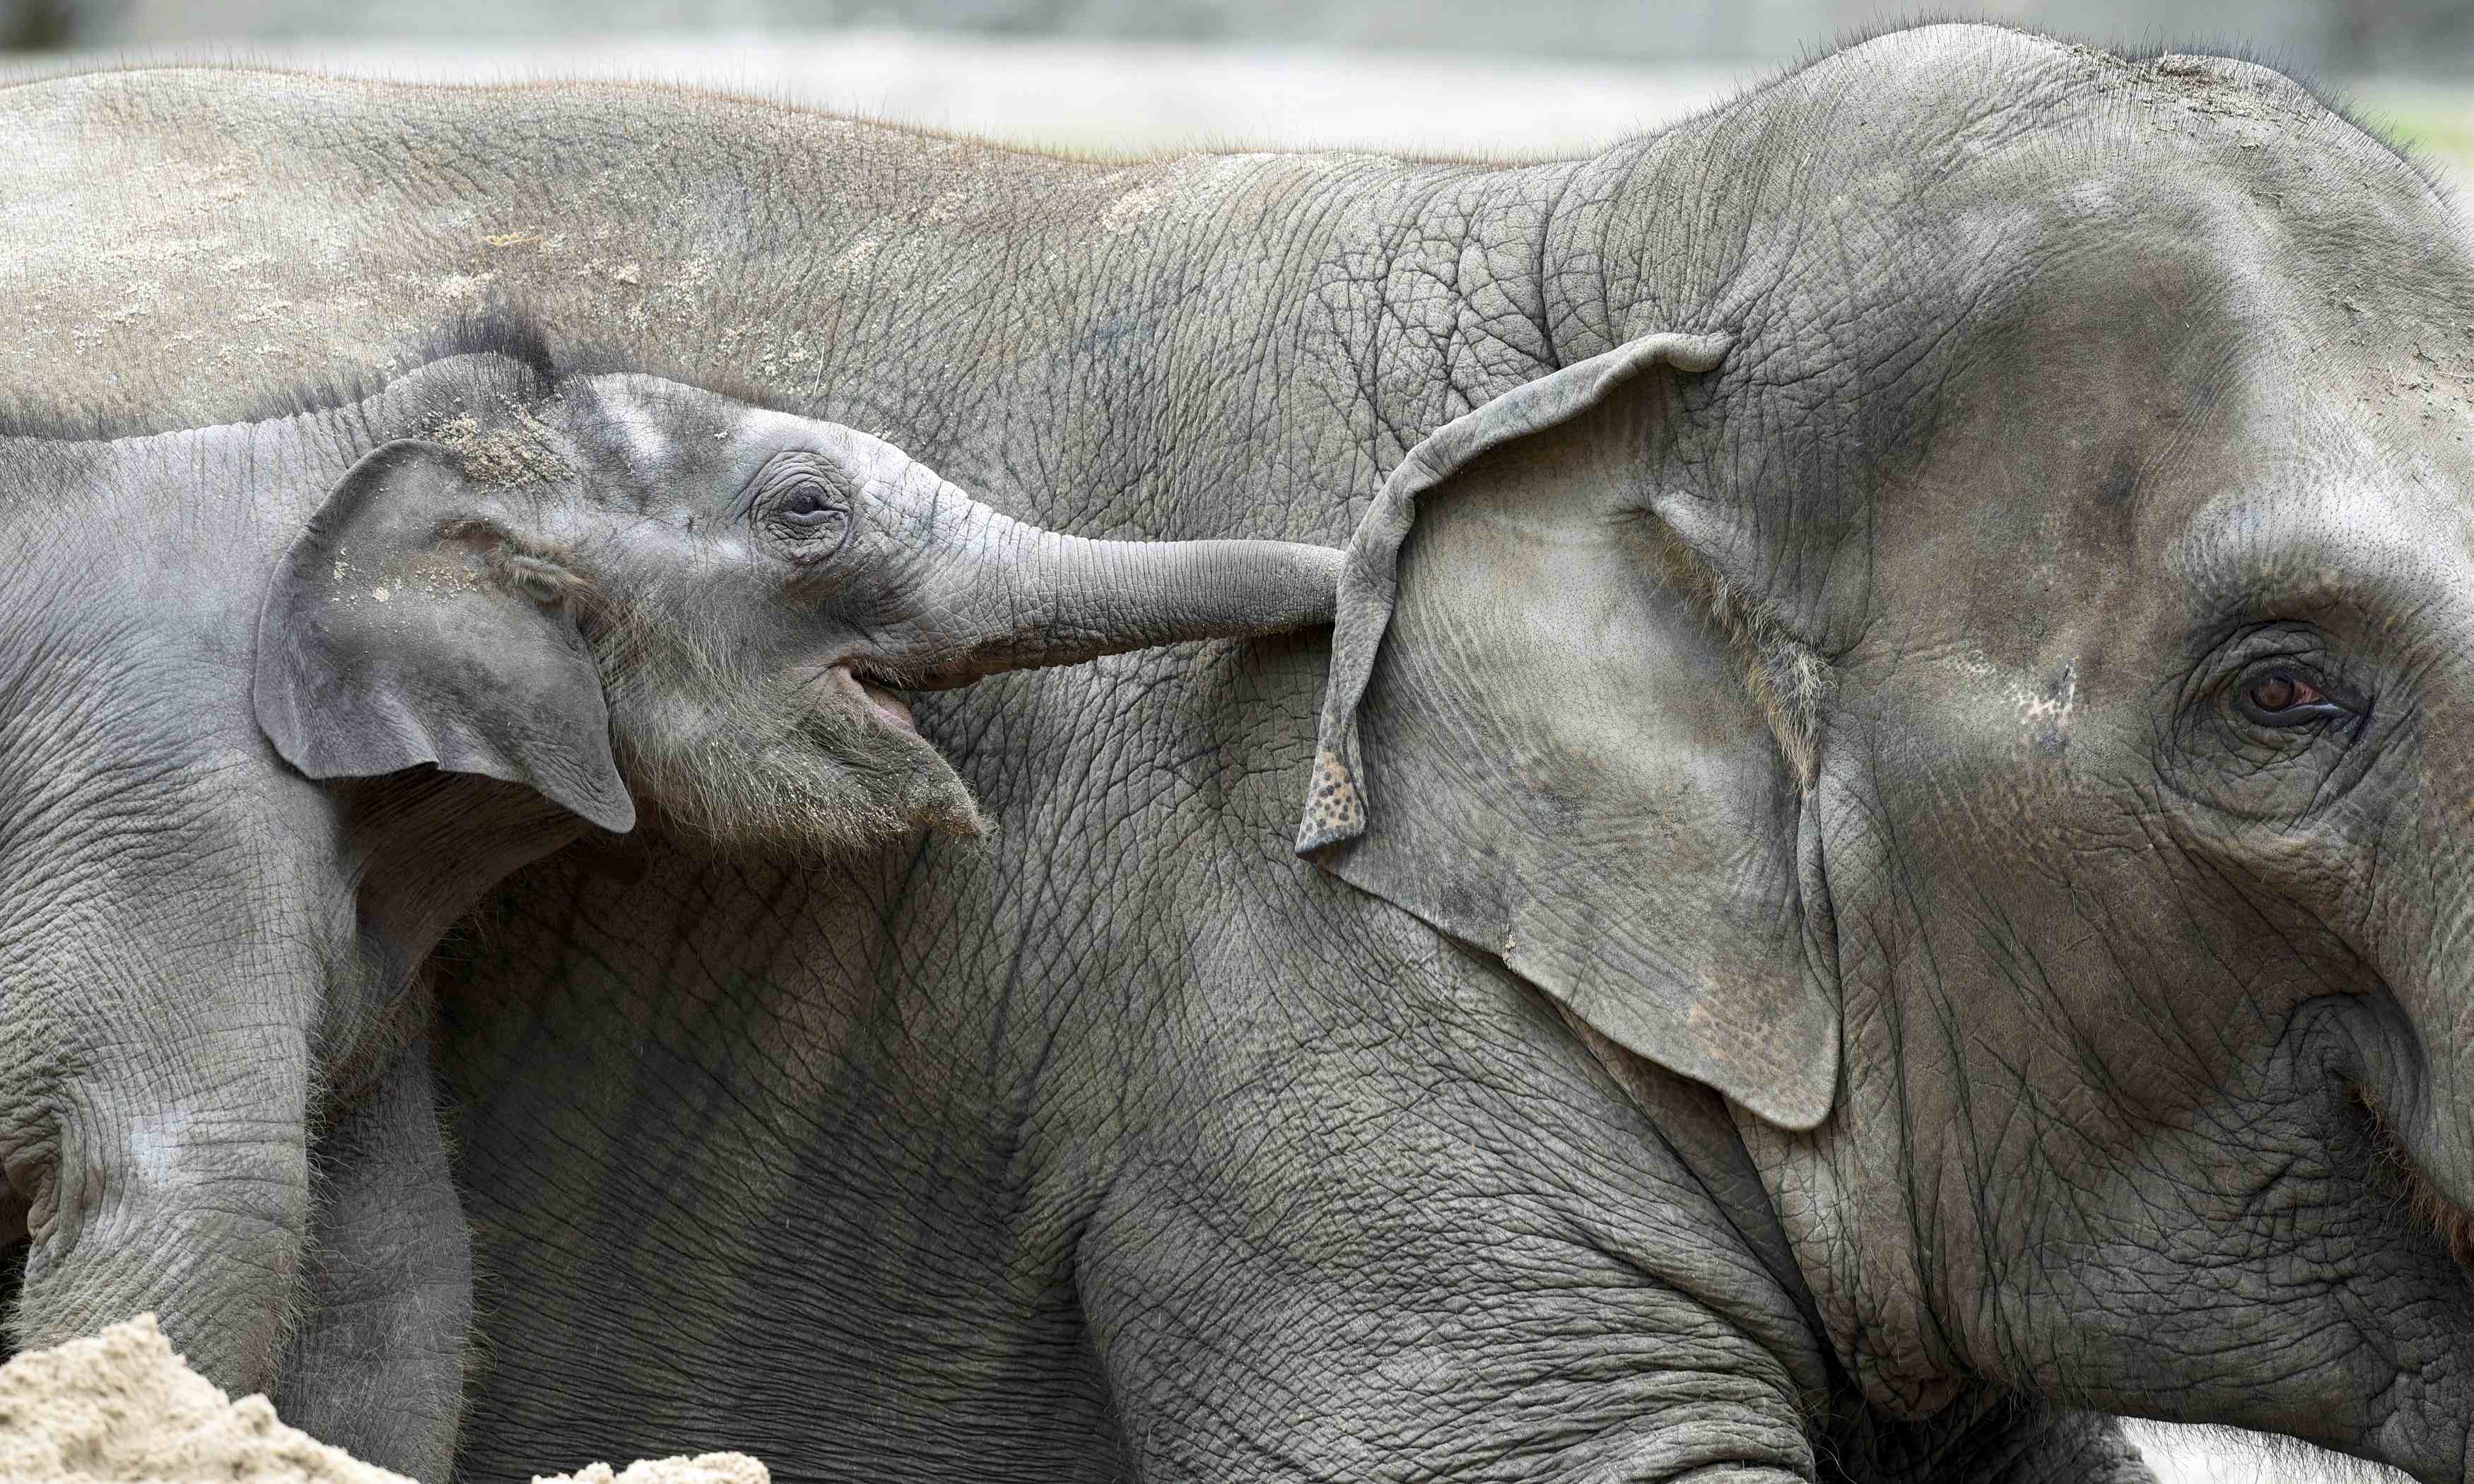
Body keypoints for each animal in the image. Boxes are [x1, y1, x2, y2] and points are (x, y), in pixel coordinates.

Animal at [0, 327, 1340, 1480]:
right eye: (807, 512)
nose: (1363, 567)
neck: (370, 444)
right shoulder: (158, 798)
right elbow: (204, 1201)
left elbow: (399, 1263)